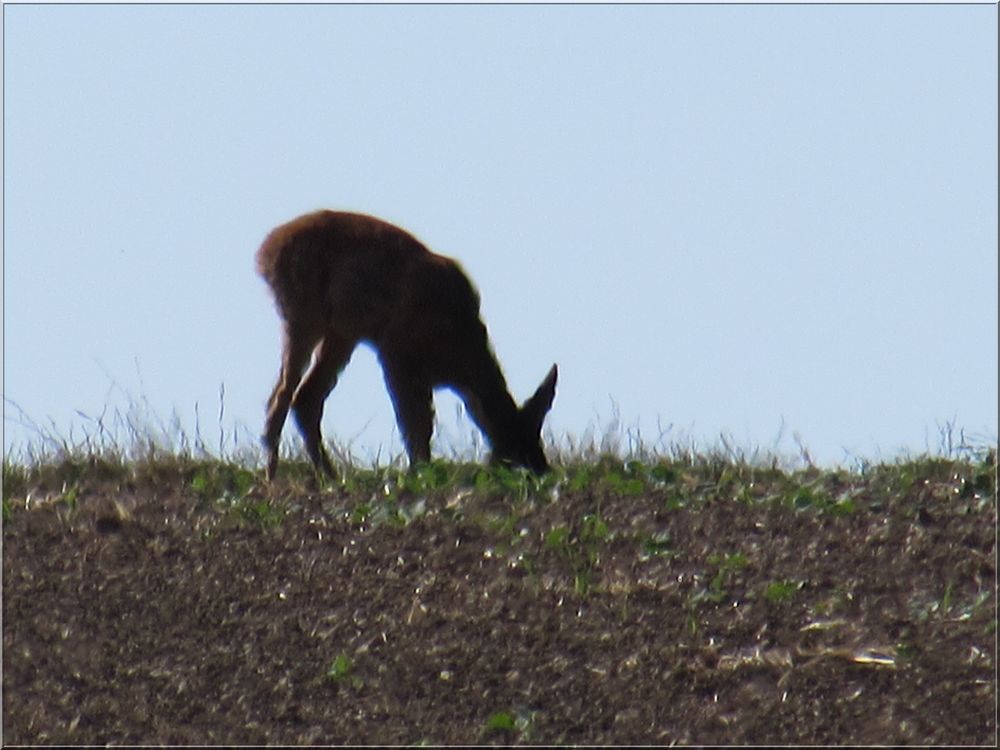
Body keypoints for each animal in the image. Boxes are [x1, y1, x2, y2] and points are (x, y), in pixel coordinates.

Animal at [254, 212, 560, 482]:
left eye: (537, 435)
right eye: (513, 445)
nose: (543, 468)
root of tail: (265, 251)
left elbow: (421, 424)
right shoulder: (395, 353)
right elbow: (416, 425)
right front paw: (420, 475)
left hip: (342, 333)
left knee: (306, 397)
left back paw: (330, 477)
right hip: (304, 316)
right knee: (282, 395)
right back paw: (273, 477)